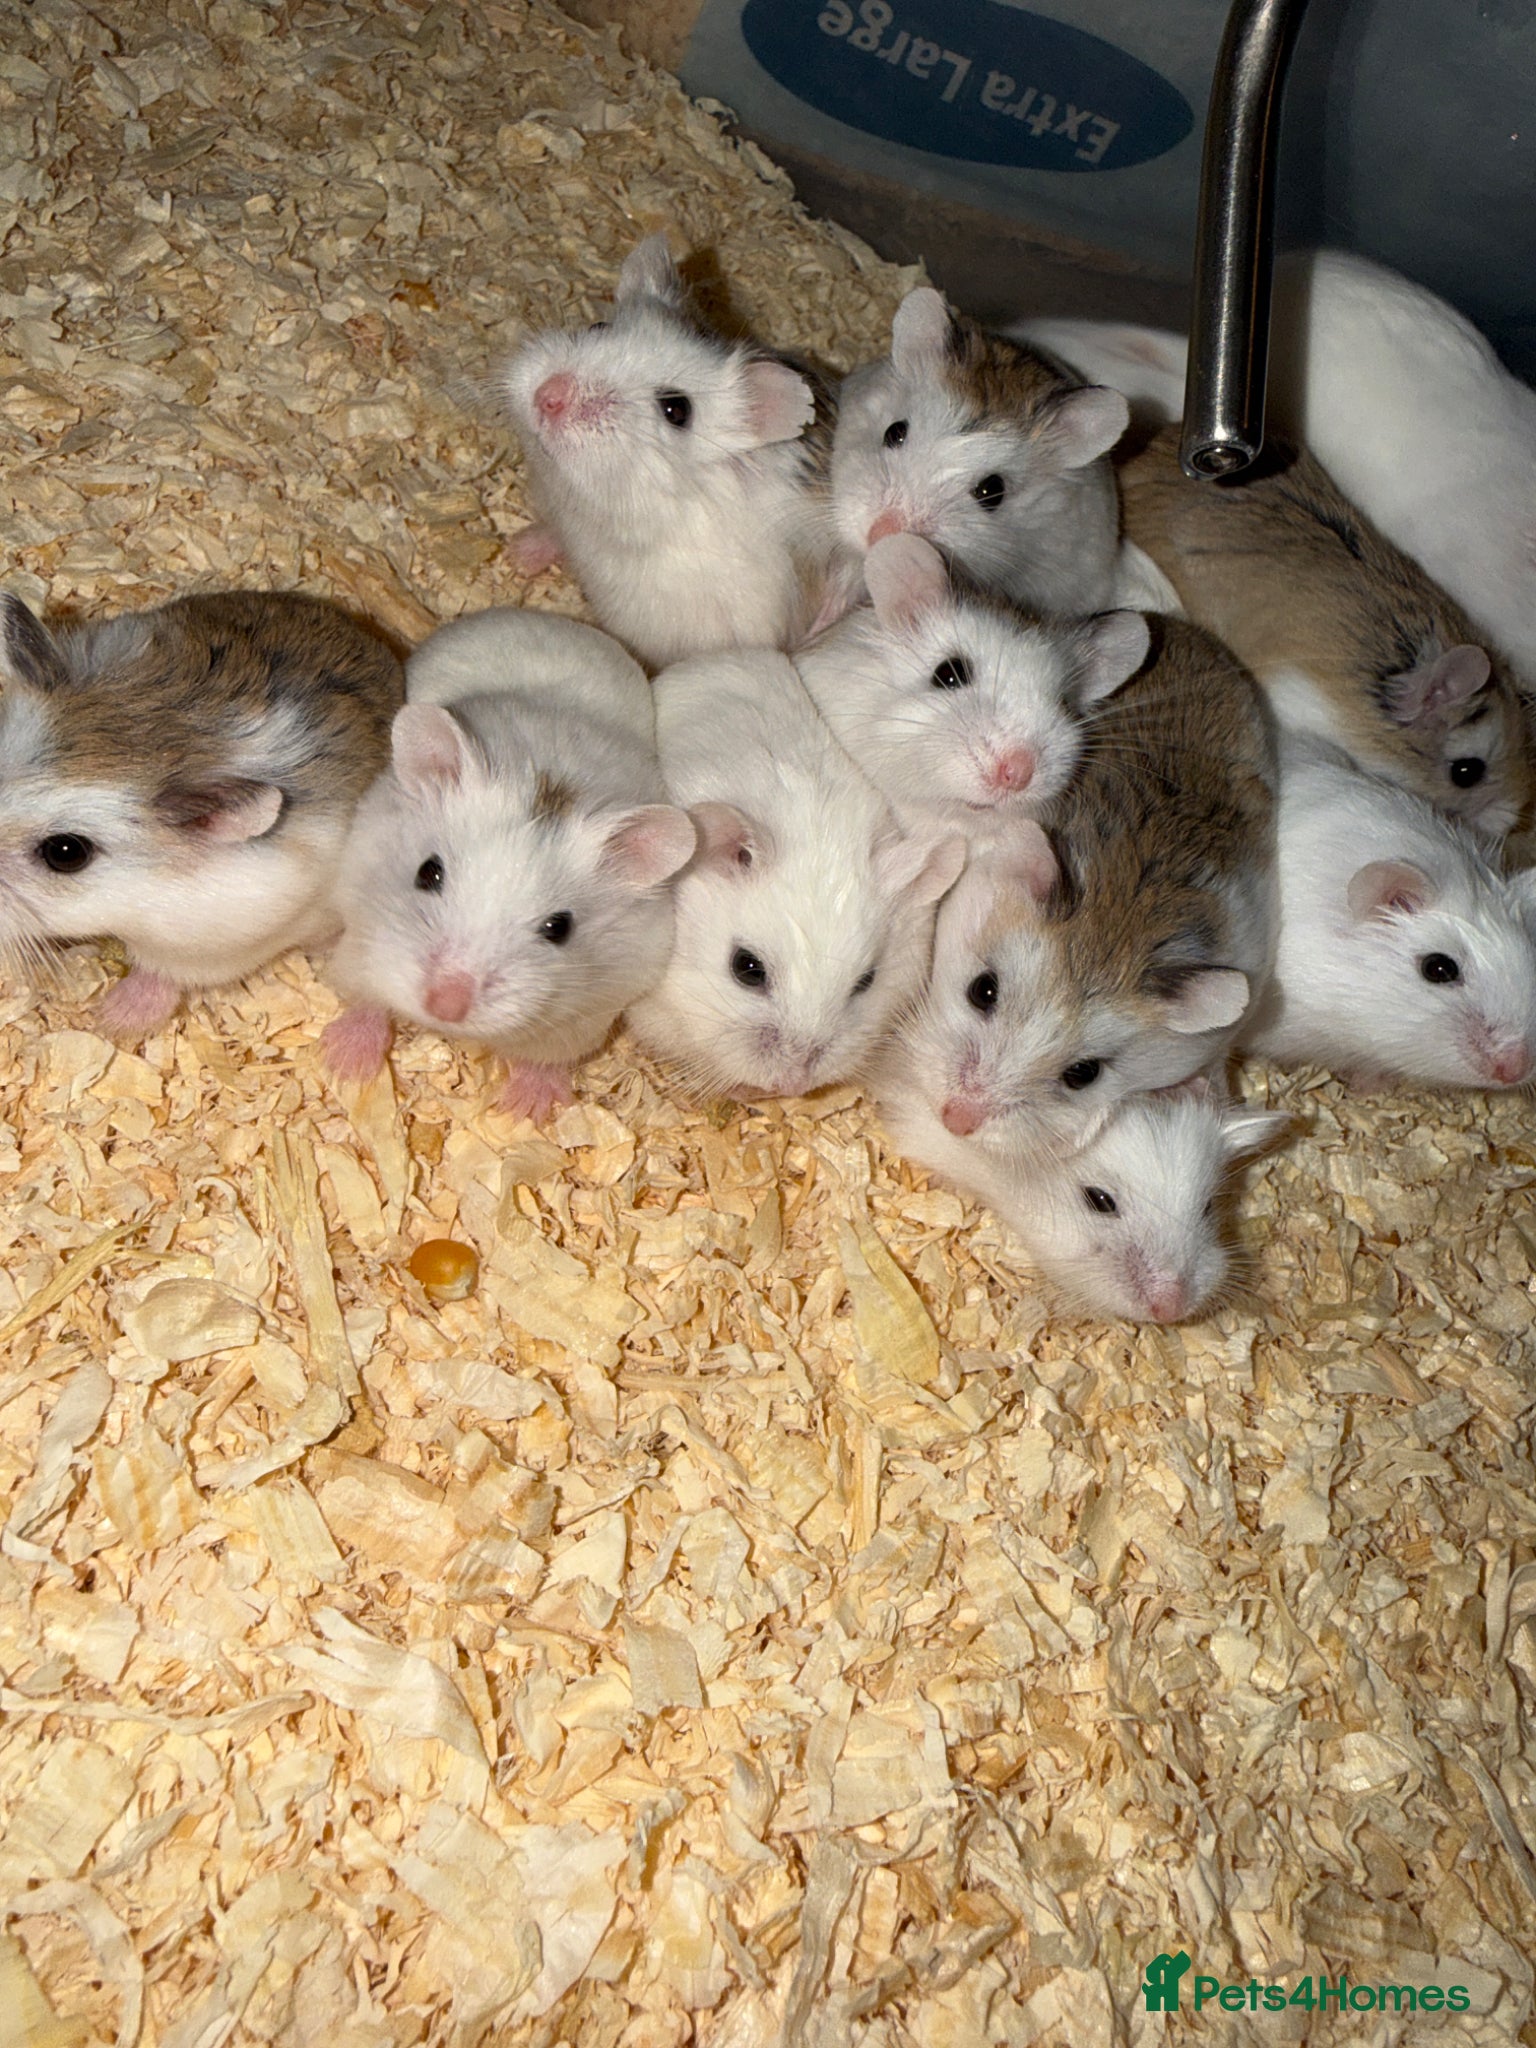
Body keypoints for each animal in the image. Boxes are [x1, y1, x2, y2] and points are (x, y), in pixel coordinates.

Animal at [323, 608, 695, 1120]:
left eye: (559, 928)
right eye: (428, 873)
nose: (445, 1006)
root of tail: (543, 615)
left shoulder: (584, 1018)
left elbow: (545, 1060)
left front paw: (527, 1112)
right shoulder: (362, 939)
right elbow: (364, 998)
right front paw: (345, 1066)